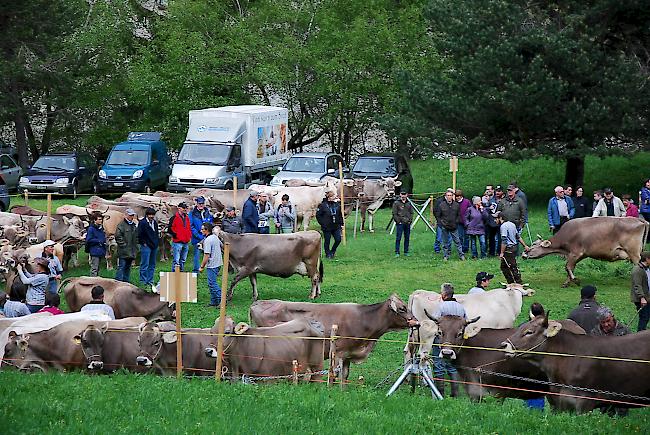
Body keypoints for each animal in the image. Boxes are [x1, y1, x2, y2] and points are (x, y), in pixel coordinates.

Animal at [248, 296, 410, 382]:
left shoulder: (347, 355)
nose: (415, 321)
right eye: (402, 308)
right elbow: (334, 374)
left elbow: (345, 375)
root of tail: (258, 302)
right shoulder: (338, 352)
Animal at [520, 217, 648, 286]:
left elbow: (568, 267)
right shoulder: (580, 255)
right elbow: (570, 267)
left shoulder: (575, 252)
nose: (523, 253)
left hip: (634, 253)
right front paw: (567, 282)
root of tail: (639, 220)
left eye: (533, 244)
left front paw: (575, 280)